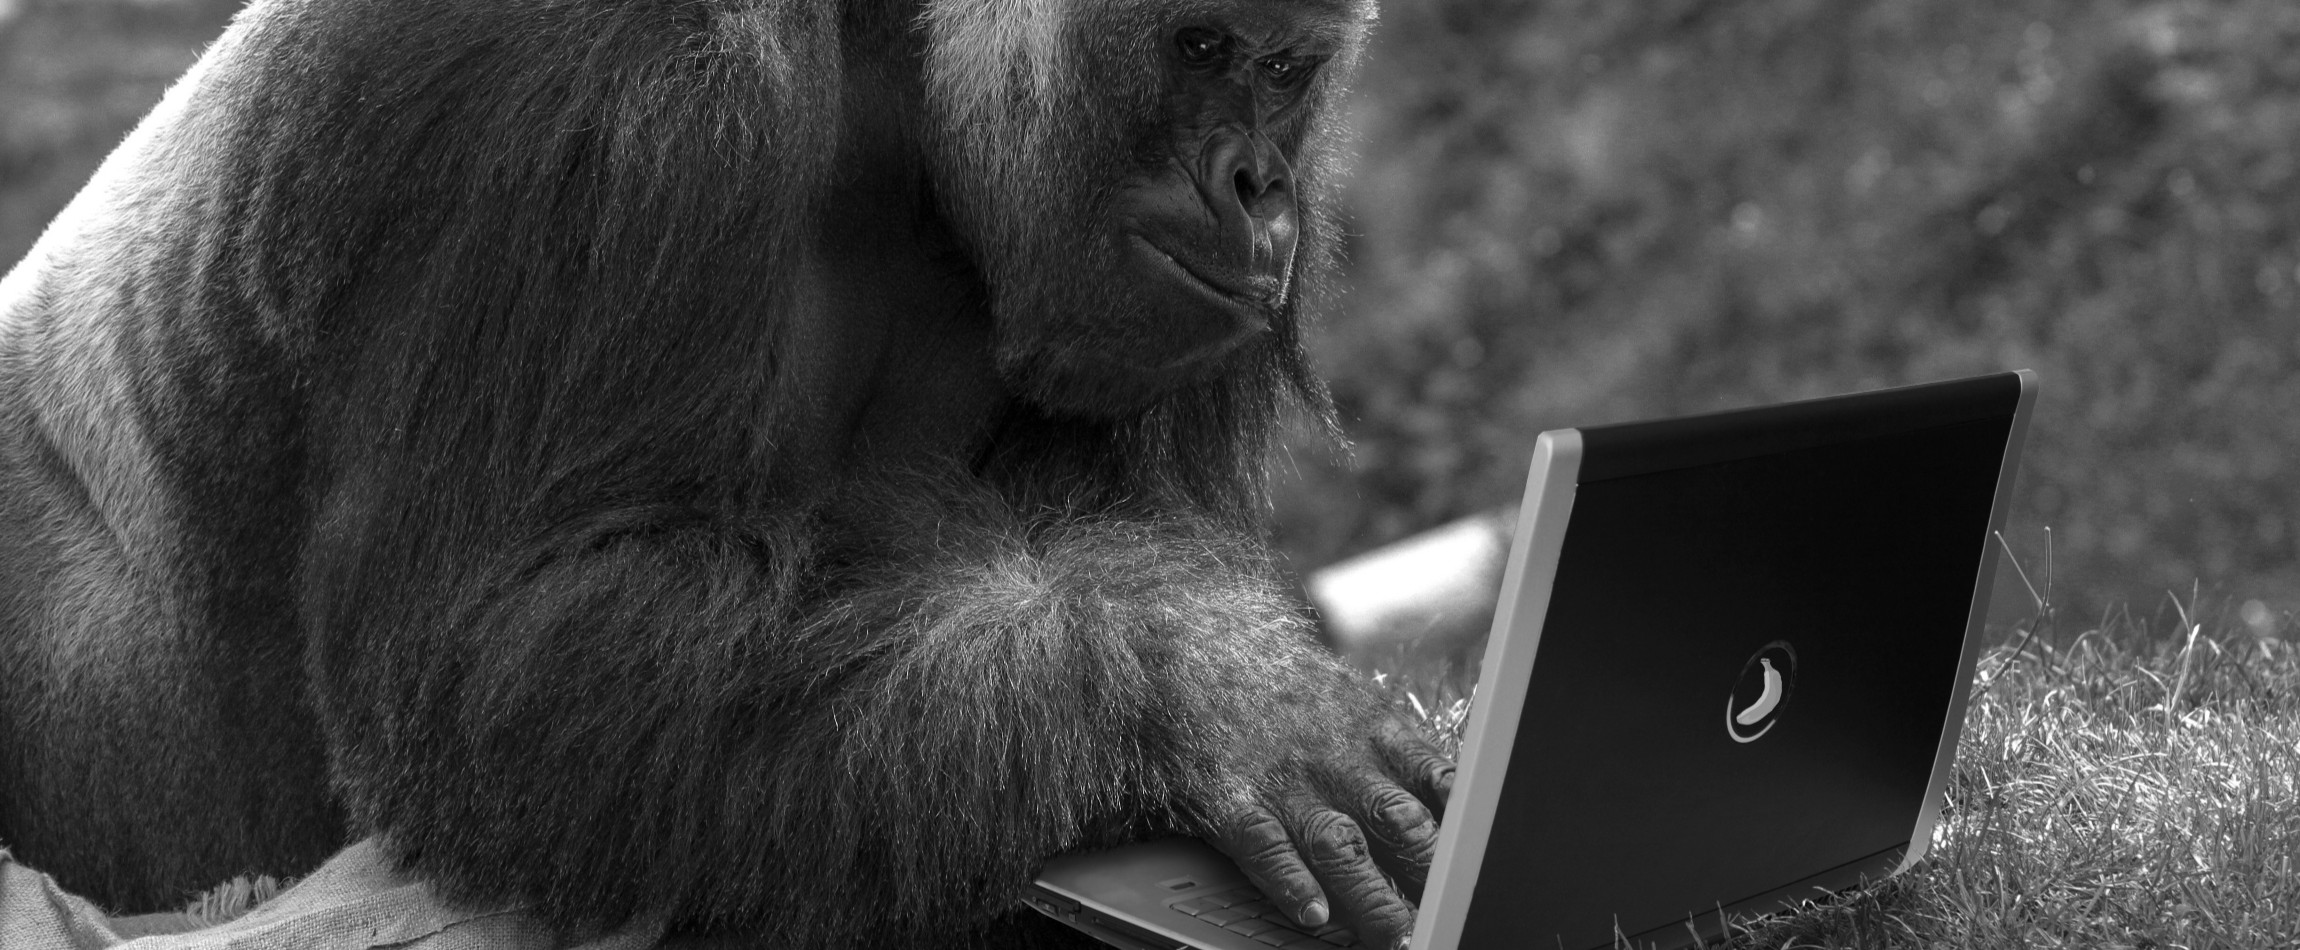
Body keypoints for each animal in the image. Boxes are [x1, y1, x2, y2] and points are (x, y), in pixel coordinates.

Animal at [0, 0, 1452, 948]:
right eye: (1196, 45)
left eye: (1284, 69)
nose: (1258, 186)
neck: (885, 49)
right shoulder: (591, 81)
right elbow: (504, 651)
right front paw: (1206, 691)